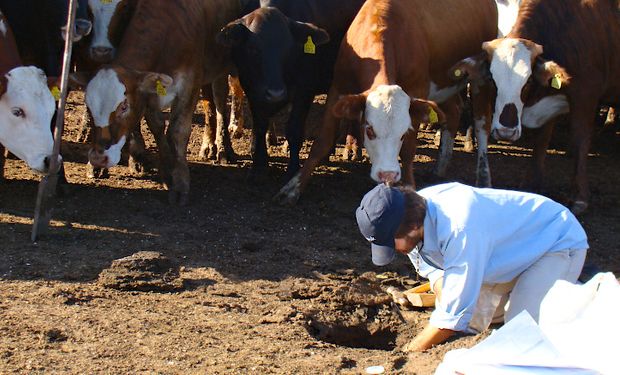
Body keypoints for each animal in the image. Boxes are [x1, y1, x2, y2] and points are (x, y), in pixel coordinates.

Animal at [85, 0, 254, 206]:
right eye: (90, 108)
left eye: (123, 106)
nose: (97, 157)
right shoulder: (149, 91)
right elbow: (157, 128)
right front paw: (167, 174)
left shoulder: (189, 85)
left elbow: (177, 132)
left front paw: (180, 184)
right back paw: (209, 145)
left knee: (220, 98)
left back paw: (224, 148)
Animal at [217, 0, 366, 179]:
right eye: (253, 49)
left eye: (289, 48)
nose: (276, 94)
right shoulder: (252, 89)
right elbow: (259, 126)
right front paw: (259, 165)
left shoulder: (305, 89)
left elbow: (294, 129)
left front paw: (293, 168)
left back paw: (352, 147)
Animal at [274, 0, 496, 206]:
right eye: (369, 130)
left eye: (403, 133)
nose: (388, 175)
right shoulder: (338, 88)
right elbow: (322, 142)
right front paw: (293, 188)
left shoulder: (417, 93)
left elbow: (408, 149)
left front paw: (408, 185)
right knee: (454, 111)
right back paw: (440, 166)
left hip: (481, 78)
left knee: (482, 124)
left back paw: (484, 178)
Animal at [450, 0, 620, 214]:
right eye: (491, 78)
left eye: (529, 80)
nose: (506, 132)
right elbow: (541, 140)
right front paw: (534, 184)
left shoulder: (586, 94)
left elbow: (580, 139)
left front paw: (579, 197)